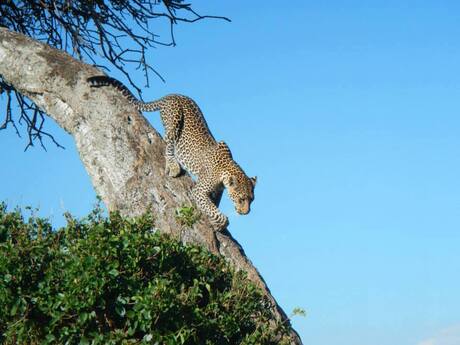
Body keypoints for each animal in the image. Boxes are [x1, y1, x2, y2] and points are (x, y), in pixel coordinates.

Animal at [88, 76, 256, 231]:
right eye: (242, 199)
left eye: (251, 200)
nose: (246, 212)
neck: (225, 172)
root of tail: (171, 95)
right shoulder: (199, 191)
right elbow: (217, 213)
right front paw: (219, 222)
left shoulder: (218, 190)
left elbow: (214, 203)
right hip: (174, 118)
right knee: (168, 143)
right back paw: (173, 166)